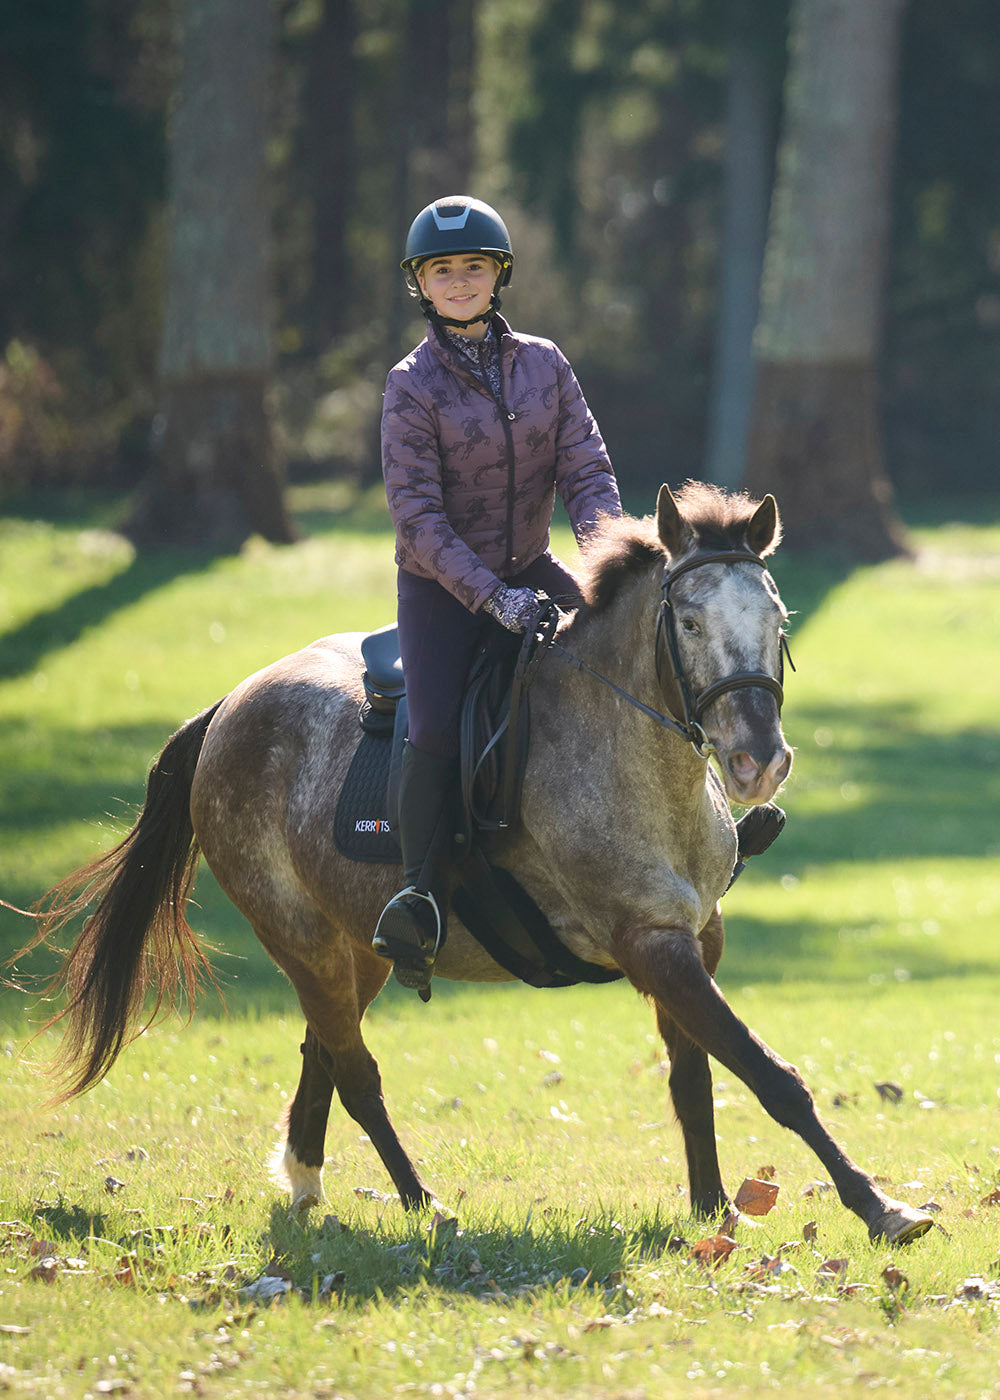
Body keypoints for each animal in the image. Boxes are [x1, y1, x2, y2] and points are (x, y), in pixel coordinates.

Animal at [20, 482, 932, 1246]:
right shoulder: (651, 945)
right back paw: (423, 1205)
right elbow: (770, 1076)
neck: (633, 756)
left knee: (324, 1051)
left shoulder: (694, 938)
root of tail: (229, 707)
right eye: (690, 625)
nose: (756, 763)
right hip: (300, 938)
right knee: (357, 1074)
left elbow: (695, 1078)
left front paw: (712, 1213)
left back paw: (306, 1185)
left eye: (778, 621)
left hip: (356, 950)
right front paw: (879, 1207)